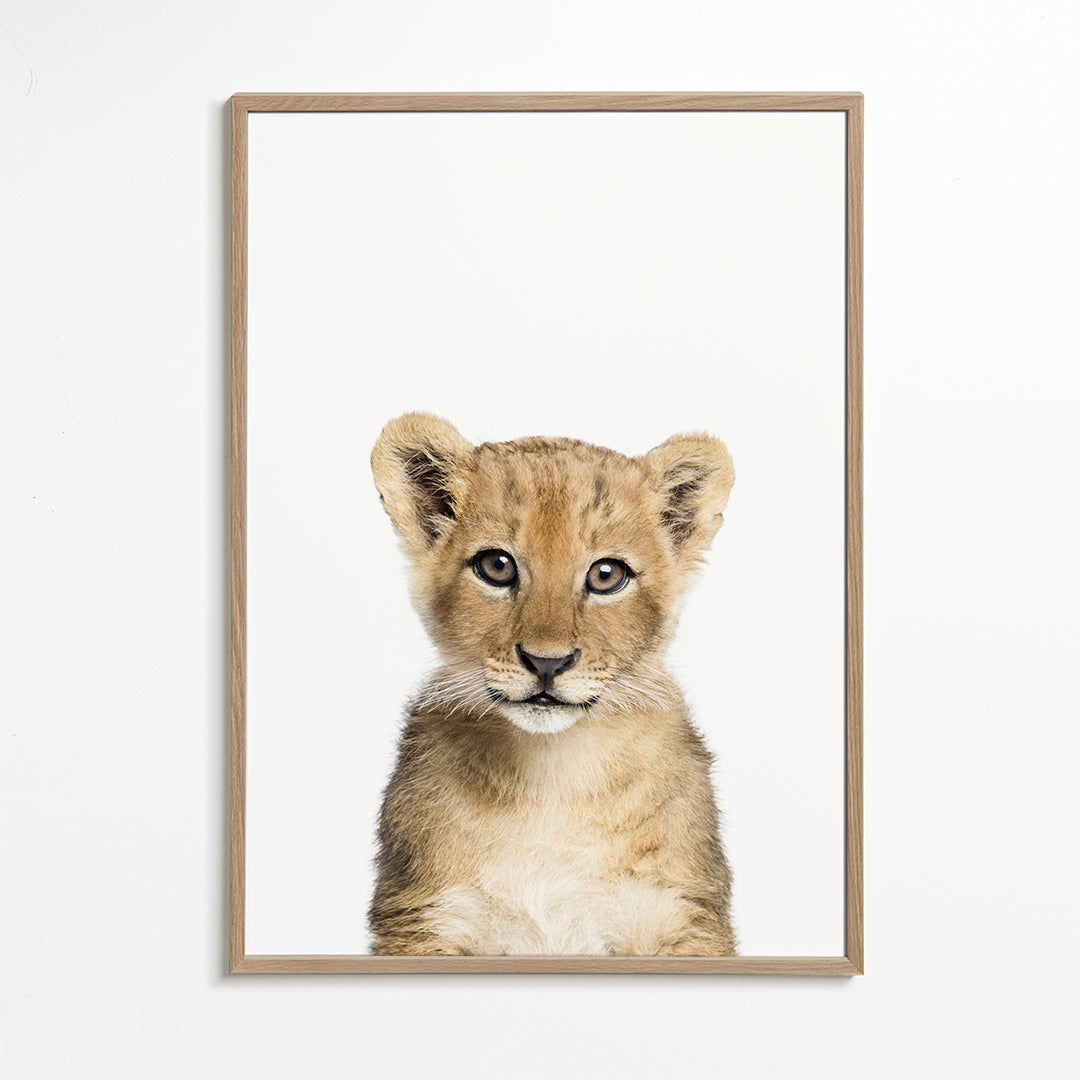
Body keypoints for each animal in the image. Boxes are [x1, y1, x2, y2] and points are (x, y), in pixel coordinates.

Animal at [368, 412, 737, 956]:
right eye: (497, 566)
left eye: (607, 575)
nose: (547, 663)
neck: (552, 777)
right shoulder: (424, 918)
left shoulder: (681, 914)